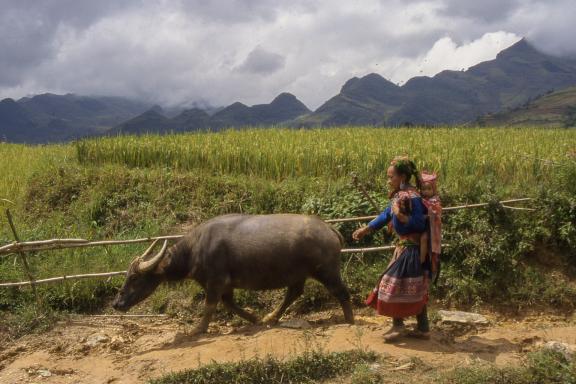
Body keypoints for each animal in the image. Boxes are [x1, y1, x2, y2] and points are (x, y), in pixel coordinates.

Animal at [112, 214, 354, 334]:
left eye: (134, 278)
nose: (117, 303)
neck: (195, 249)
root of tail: (331, 230)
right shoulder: (226, 285)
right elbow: (229, 304)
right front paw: (255, 317)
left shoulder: (215, 282)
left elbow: (210, 306)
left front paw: (198, 329)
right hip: (298, 273)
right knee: (294, 292)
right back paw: (270, 317)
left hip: (326, 271)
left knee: (341, 292)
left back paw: (349, 320)